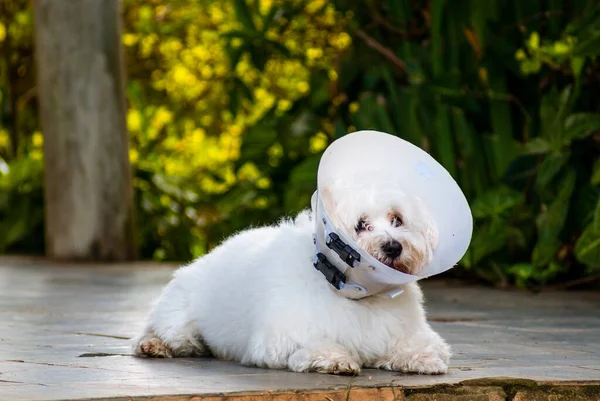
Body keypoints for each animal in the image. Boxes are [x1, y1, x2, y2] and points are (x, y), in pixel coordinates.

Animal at [132, 183, 450, 374]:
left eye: (397, 219)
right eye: (361, 225)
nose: (393, 247)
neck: (357, 296)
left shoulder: (400, 332)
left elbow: (422, 346)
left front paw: (421, 358)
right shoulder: (279, 340)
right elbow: (314, 345)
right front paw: (335, 359)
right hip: (180, 323)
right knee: (165, 334)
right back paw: (152, 345)